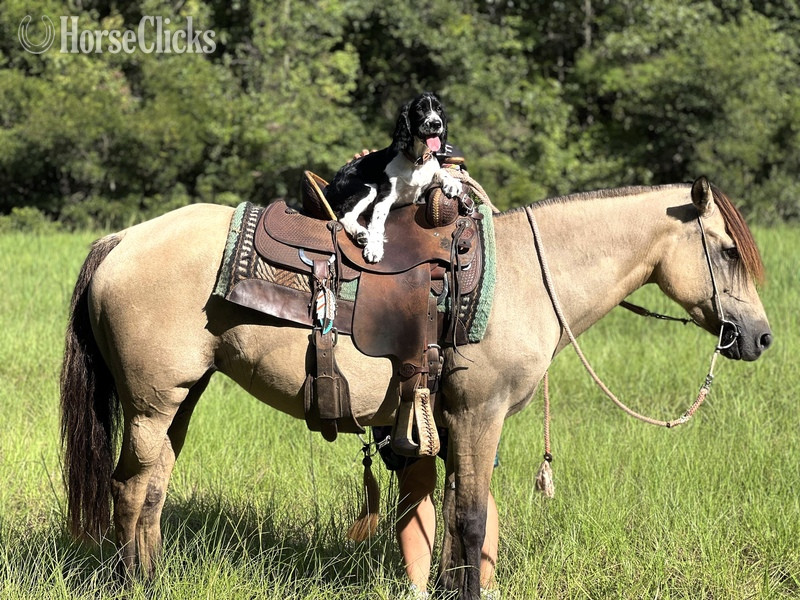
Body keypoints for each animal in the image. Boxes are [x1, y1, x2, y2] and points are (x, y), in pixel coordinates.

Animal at [60, 176, 771, 599]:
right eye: (727, 250)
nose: (760, 337)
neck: (522, 277)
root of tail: (122, 239)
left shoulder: (456, 424)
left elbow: (456, 518)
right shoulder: (479, 415)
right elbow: (473, 519)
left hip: (179, 400)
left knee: (153, 490)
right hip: (152, 404)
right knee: (130, 490)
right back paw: (131, 586)